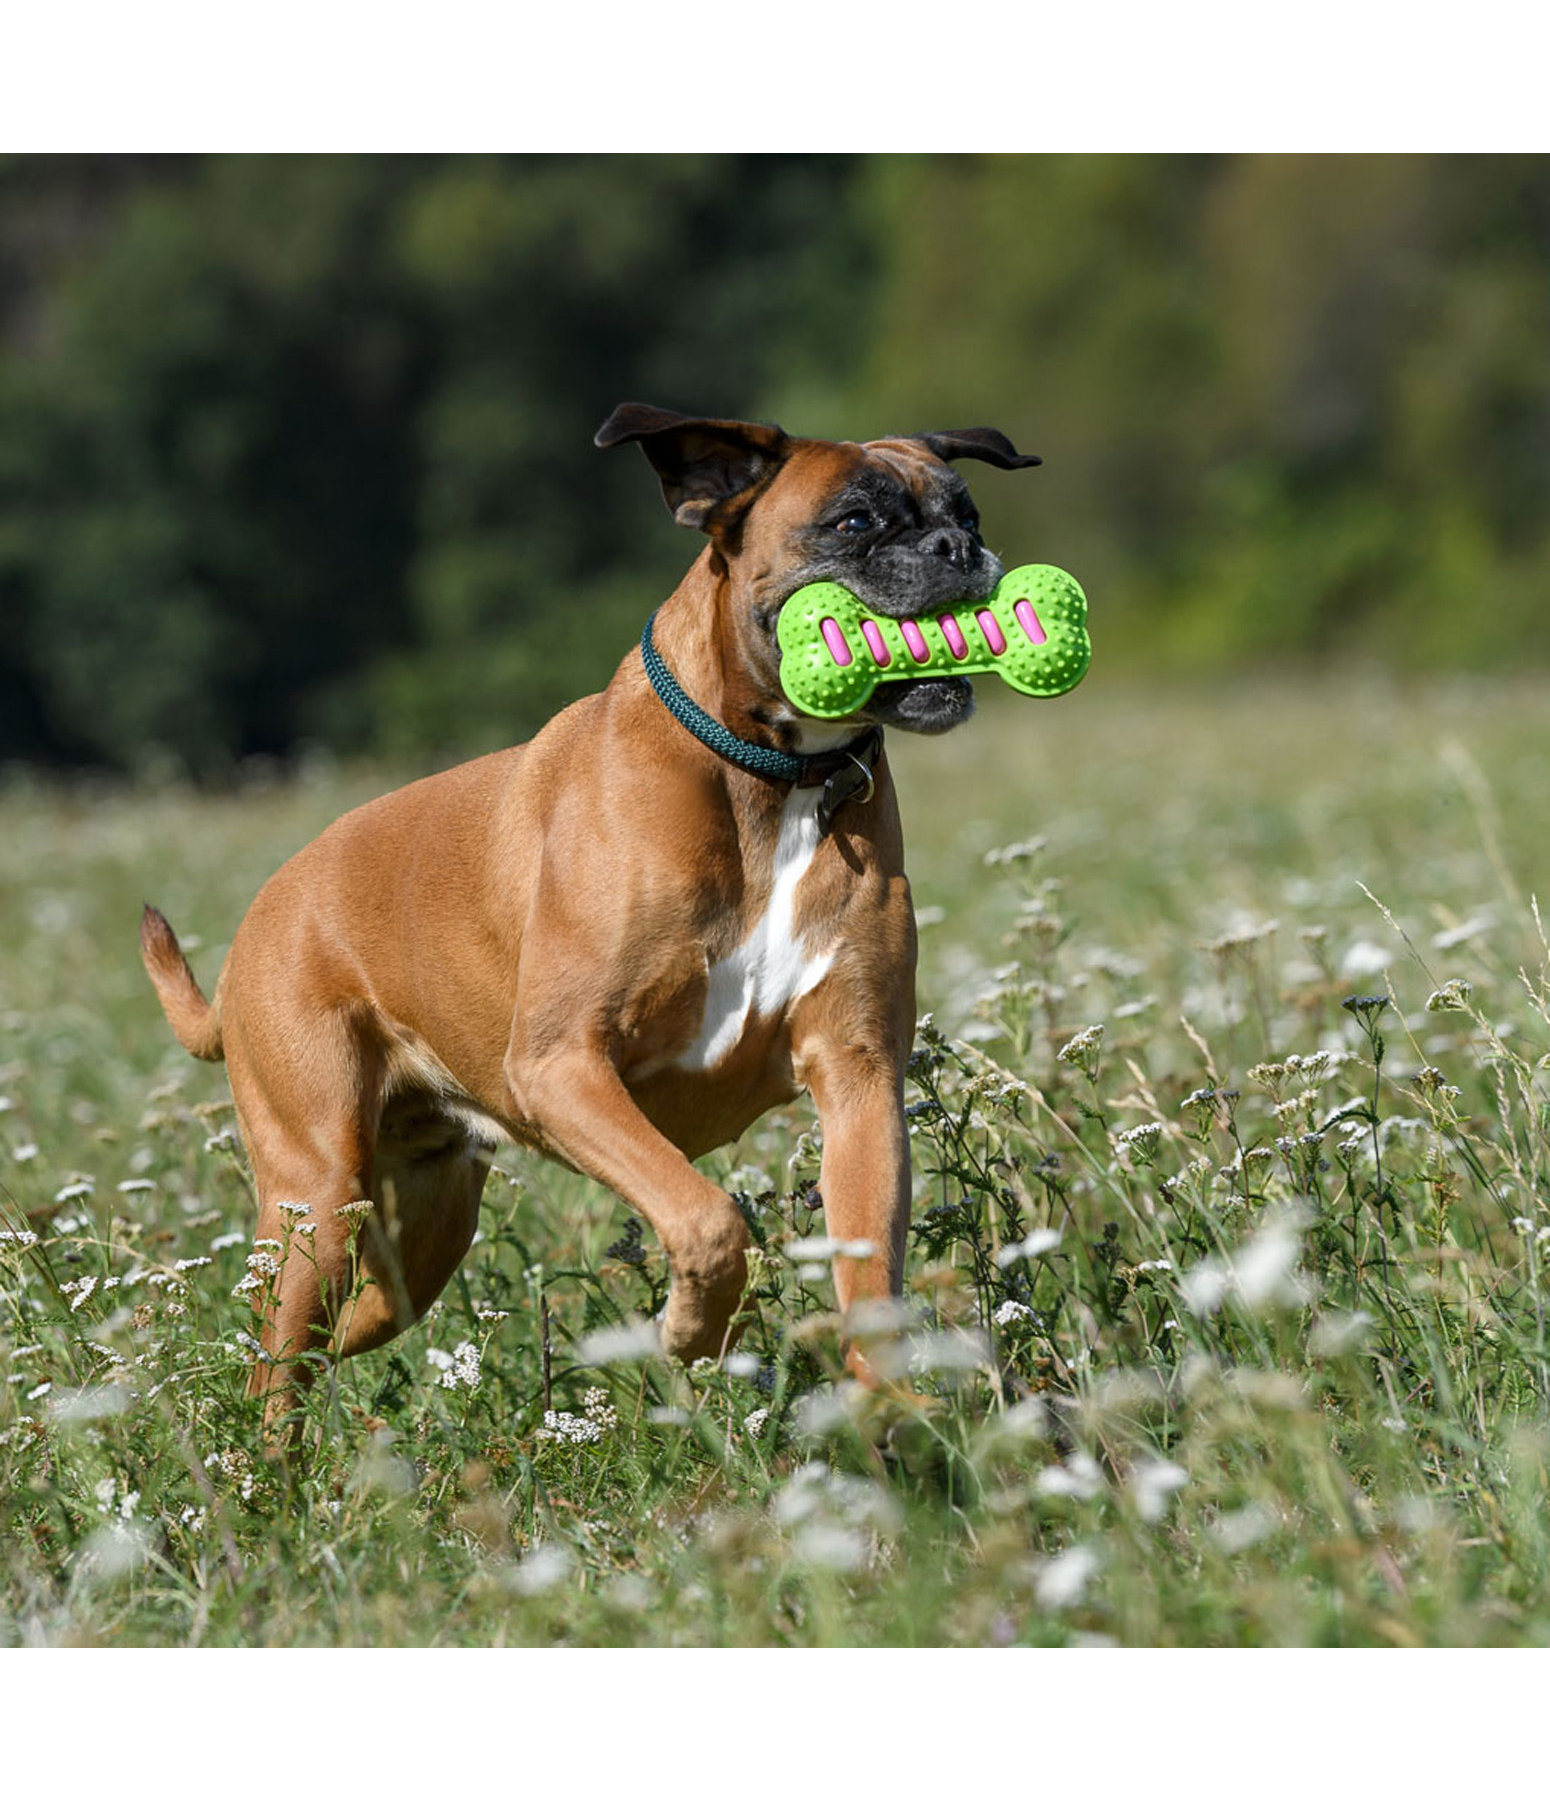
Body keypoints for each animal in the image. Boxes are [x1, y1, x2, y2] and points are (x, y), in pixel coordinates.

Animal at [142, 405, 1036, 1418]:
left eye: (966, 509)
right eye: (853, 522)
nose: (959, 547)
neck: (772, 778)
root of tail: (257, 922)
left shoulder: (860, 1082)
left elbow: (871, 1279)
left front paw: (896, 1426)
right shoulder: (564, 1068)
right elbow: (710, 1220)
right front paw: (692, 1334)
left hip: (423, 1227)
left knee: (349, 1324)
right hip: (318, 1195)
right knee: (277, 1373)